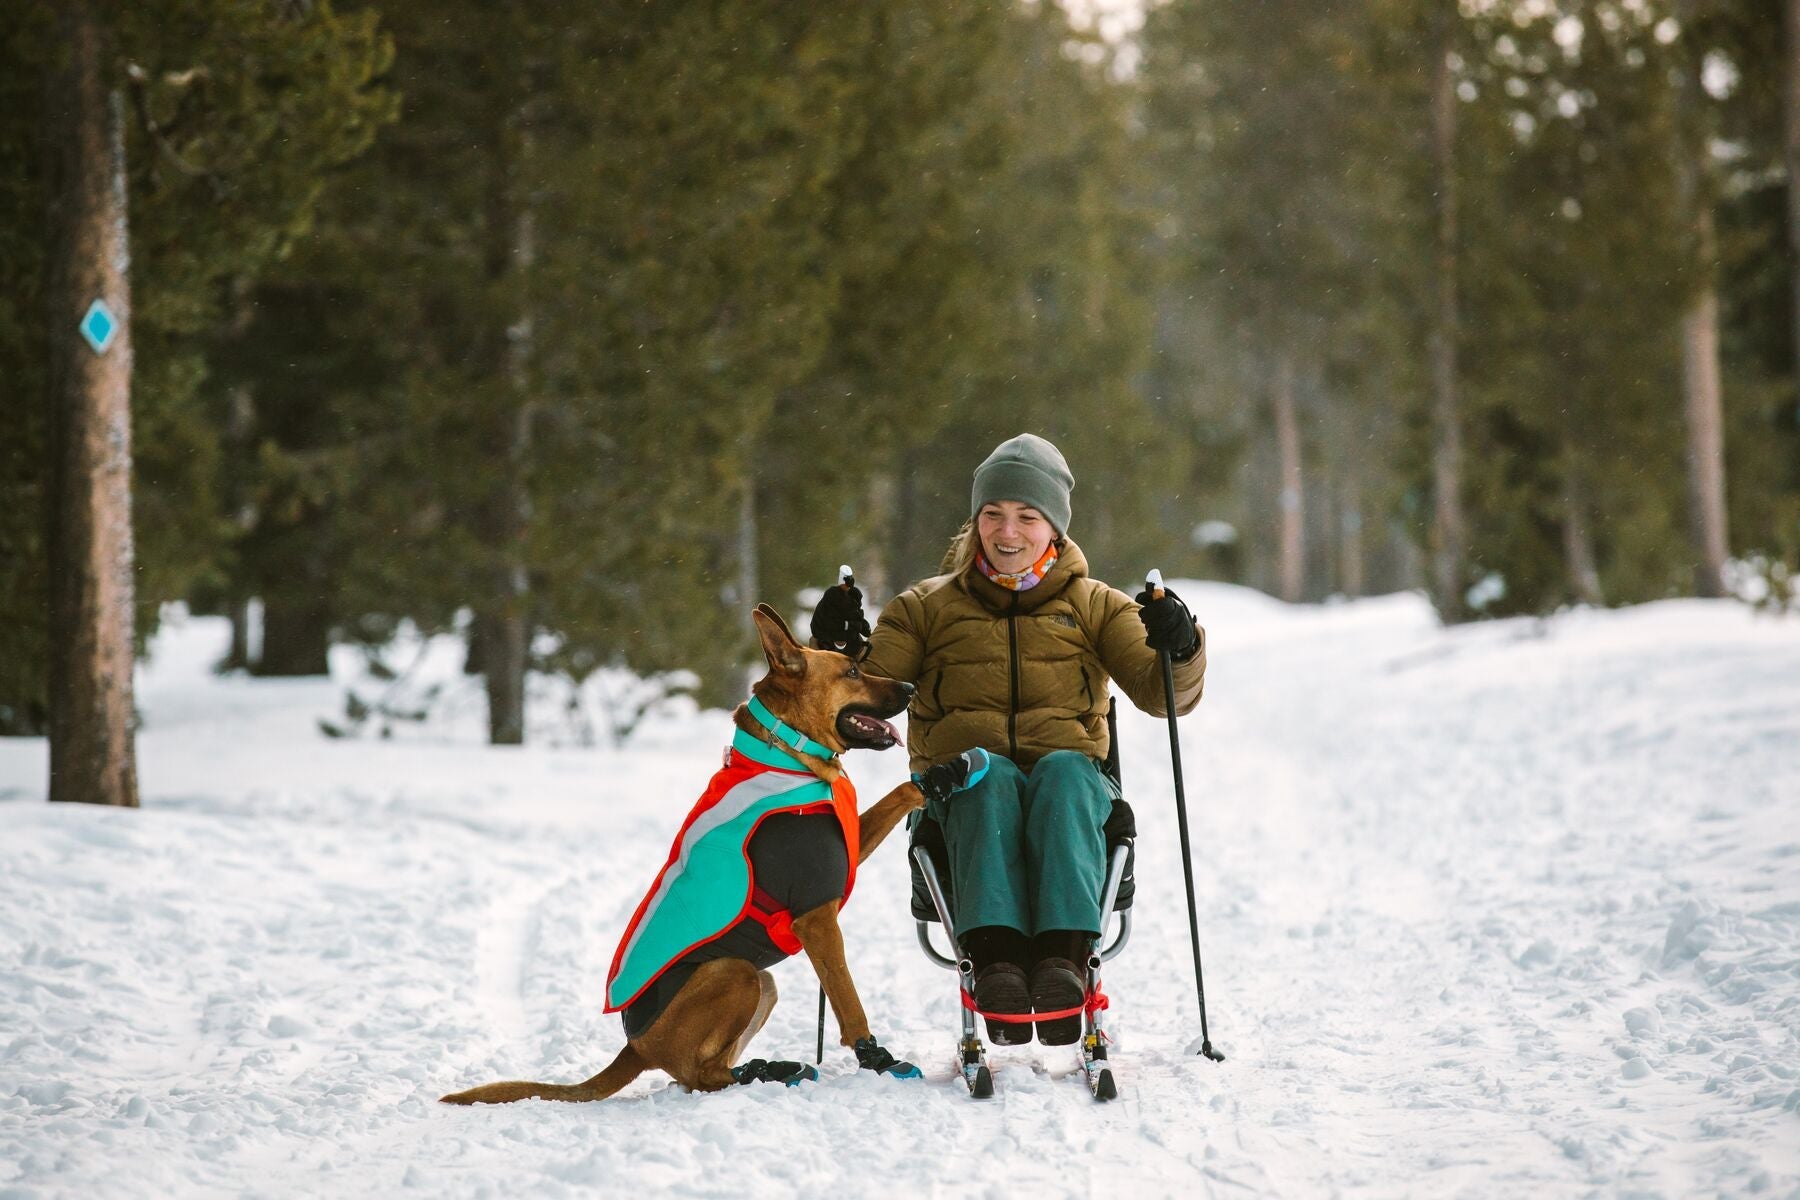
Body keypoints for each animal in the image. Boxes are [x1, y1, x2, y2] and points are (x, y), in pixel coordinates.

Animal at [442, 604, 928, 1101]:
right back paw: (767, 1072)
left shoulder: (844, 856)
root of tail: (636, 1048)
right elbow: (849, 1002)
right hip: (735, 971)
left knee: (702, 1071)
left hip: (762, 982)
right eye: (852, 671)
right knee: (703, 1076)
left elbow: (900, 792)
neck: (787, 751)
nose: (912, 689)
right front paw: (878, 1059)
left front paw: (935, 781)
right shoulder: (816, 918)